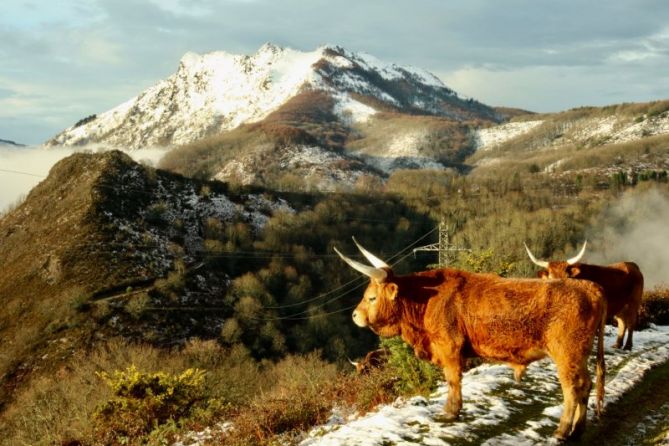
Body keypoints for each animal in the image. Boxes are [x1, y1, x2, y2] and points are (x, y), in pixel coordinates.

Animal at [334, 239, 604, 440]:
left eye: (371, 297)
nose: (355, 315)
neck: (424, 301)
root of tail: (590, 288)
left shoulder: (449, 347)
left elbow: (453, 380)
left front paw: (450, 411)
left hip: (566, 354)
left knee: (572, 389)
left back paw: (562, 430)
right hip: (579, 354)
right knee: (586, 384)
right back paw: (578, 430)